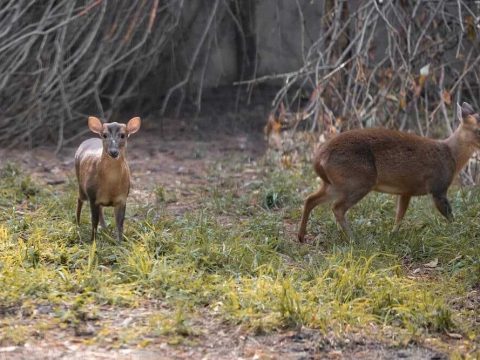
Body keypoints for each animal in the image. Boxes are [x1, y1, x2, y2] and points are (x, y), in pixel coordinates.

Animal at [298, 101, 480, 242]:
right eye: (478, 130)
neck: (452, 156)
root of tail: (319, 158)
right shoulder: (438, 187)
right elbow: (450, 215)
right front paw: (459, 232)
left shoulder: (407, 190)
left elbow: (400, 214)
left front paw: (393, 235)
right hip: (358, 180)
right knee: (337, 207)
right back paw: (353, 239)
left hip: (335, 183)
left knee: (310, 199)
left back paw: (301, 236)